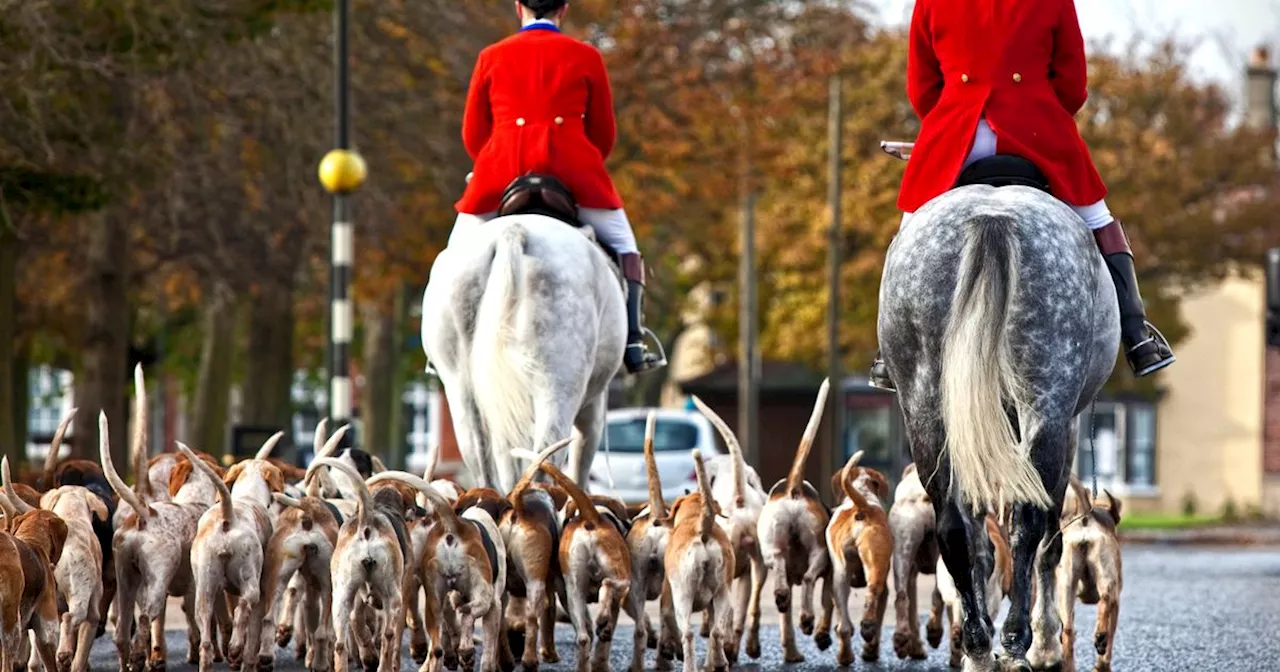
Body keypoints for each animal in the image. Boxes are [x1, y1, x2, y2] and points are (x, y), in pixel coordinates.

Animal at [422, 215, 627, 491]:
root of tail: (511, 232)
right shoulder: (594, 405)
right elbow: (580, 462)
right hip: (559, 384)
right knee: (545, 456)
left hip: (461, 387)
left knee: (480, 455)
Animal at [880, 150, 1121, 665]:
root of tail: (992, 217)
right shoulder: (1067, 425)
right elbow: (1047, 540)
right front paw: (1046, 640)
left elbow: (982, 541)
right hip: (1046, 402)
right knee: (1032, 522)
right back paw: (1020, 641)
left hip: (926, 404)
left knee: (953, 524)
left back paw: (977, 644)